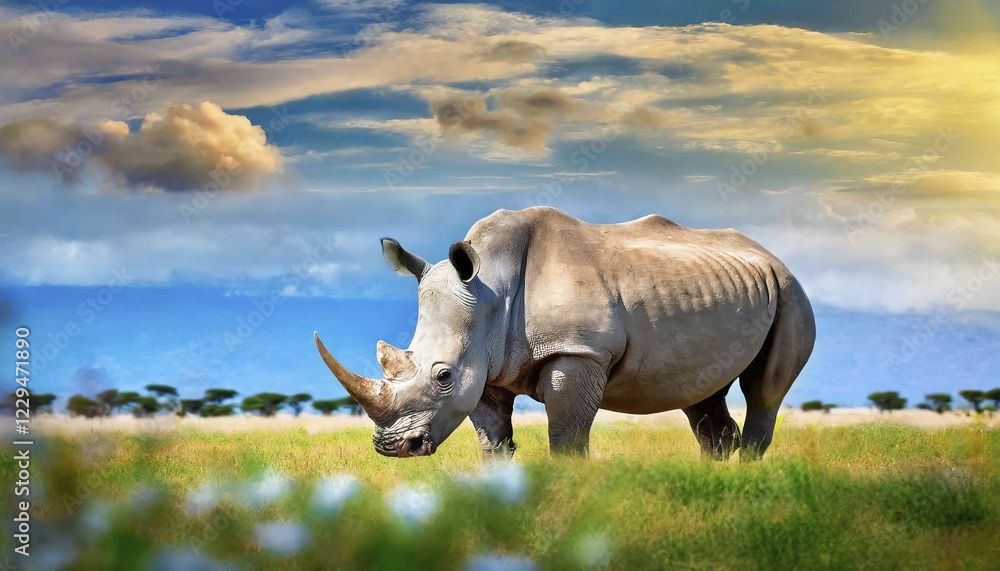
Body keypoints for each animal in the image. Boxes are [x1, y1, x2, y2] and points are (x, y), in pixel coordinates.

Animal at [315, 207, 815, 460]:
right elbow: (493, 442)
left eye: (443, 376)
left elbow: (567, 439)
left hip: (790, 292)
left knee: (764, 391)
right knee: (701, 397)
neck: (490, 285)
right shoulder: (486, 364)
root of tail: (770, 255)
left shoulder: (578, 351)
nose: (393, 448)